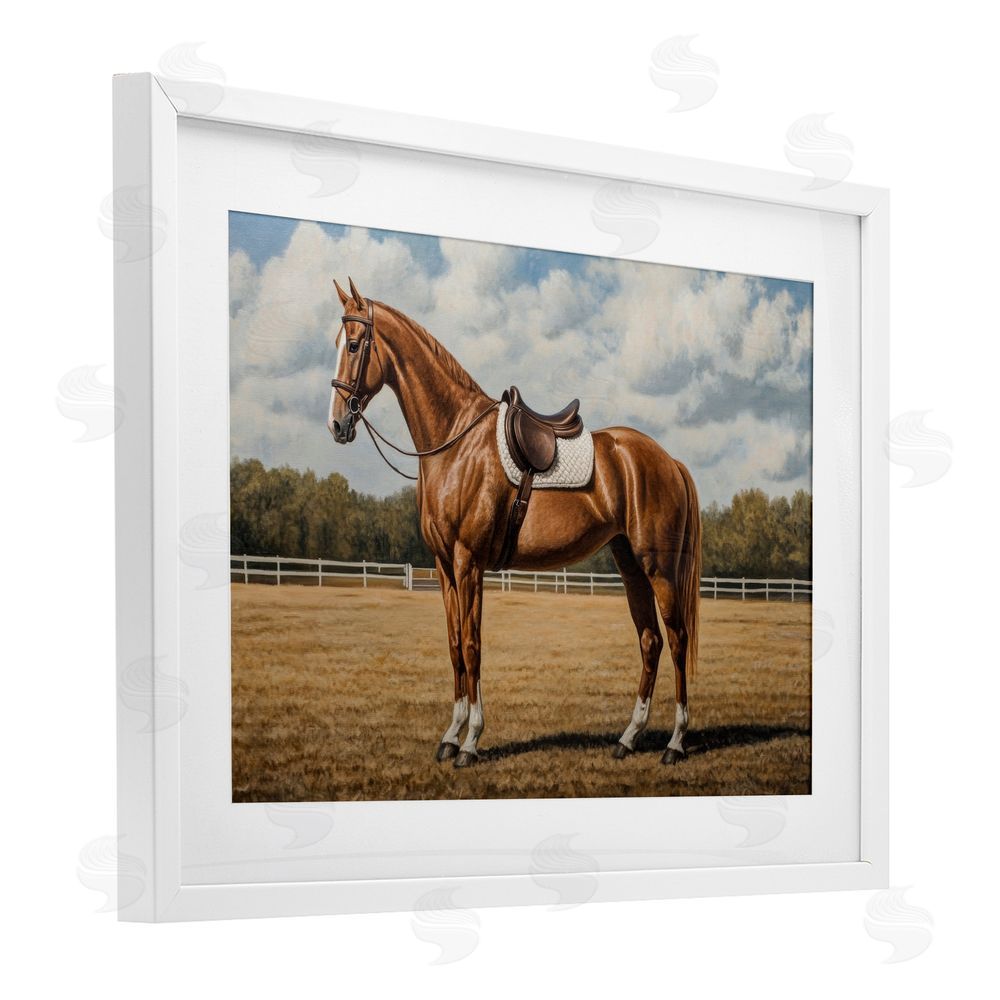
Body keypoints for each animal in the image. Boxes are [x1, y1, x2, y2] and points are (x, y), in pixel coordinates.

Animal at [327, 277, 701, 768]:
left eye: (354, 344)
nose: (337, 424)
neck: (455, 441)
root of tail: (668, 459)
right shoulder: (444, 566)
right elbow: (454, 646)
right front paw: (450, 735)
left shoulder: (468, 562)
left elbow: (472, 645)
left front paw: (470, 741)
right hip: (629, 564)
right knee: (650, 641)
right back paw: (628, 738)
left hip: (658, 565)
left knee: (676, 639)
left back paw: (674, 743)